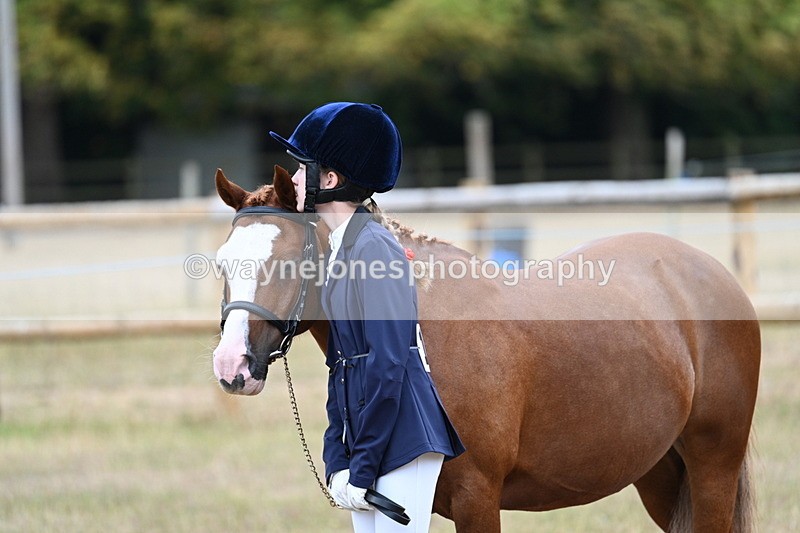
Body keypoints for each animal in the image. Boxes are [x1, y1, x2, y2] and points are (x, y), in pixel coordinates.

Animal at [211, 165, 760, 532]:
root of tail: (710, 271)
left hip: (713, 466)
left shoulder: (477, 497)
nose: (232, 365)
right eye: (221, 261)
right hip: (661, 473)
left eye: (288, 260)